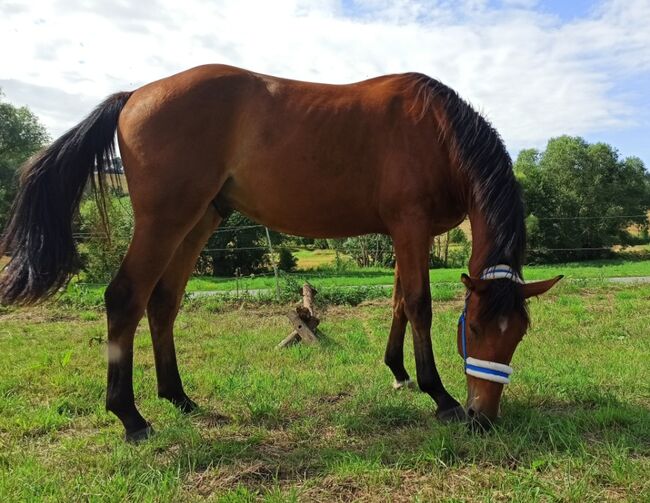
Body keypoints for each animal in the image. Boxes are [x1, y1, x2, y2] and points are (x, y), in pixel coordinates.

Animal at [0, 64, 560, 440]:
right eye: (476, 328)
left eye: (519, 334)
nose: (483, 417)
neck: (438, 132)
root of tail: (136, 93)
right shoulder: (410, 226)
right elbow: (419, 305)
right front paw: (439, 395)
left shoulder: (407, 233)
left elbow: (400, 301)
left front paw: (398, 373)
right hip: (166, 221)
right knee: (125, 298)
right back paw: (131, 417)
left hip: (200, 219)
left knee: (162, 304)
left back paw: (179, 398)